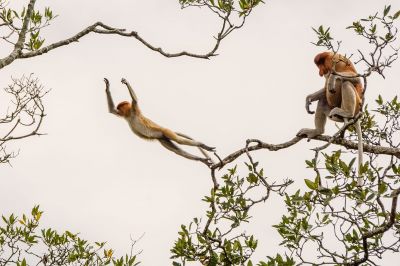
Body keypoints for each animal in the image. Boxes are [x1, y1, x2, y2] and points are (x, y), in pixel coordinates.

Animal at [296, 52, 366, 185]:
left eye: (320, 65)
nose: (320, 72)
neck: (328, 58)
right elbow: (324, 90)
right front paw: (308, 99)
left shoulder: (337, 61)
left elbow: (355, 77)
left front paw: (333, 78)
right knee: (323, 100)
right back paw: (317, 131)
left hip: (354, 105)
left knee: (346, 83)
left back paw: (347, 113)